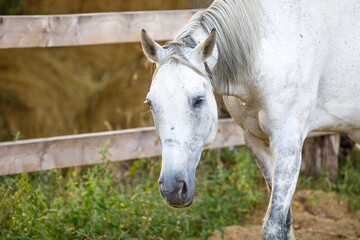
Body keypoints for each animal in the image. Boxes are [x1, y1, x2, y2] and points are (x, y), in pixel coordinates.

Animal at [140, 0, 360, 239]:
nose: (172, 189)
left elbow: (274, 224)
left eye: (198, 100)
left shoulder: (288, 145)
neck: (267, 46)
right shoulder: (256, 141)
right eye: (151, 103)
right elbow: (286, 219)